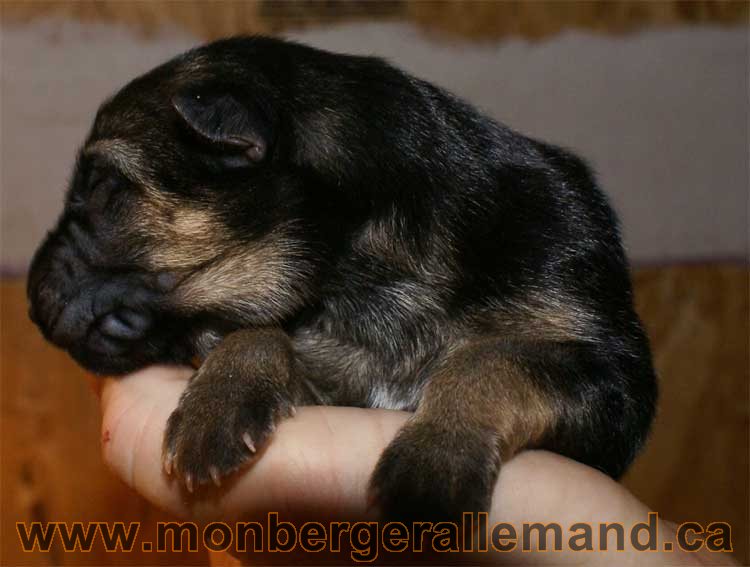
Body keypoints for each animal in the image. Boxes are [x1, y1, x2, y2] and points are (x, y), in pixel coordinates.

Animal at [25, 36, 656, 524]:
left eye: (102, 185)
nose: (28, 298)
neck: (361, 270)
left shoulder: (613, 381)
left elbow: (491, 360)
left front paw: (433, 462)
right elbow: (257, 333)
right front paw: (220, 399)